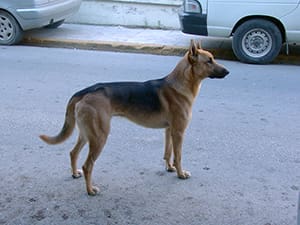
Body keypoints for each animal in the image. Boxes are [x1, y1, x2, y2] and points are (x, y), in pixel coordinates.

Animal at [38, 40, 229, 195]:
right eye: (209, 60)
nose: (228, 72)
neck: (181, 83)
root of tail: (84, 91)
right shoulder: (179, 132)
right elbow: (178, 156)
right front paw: (180, 173)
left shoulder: (169, 131)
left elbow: (168, 153)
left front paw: (170, 168)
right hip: (99, 137)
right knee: (88, 165)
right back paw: (90, 190)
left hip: (86, 134)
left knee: (73, 153)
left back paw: (74, 173)